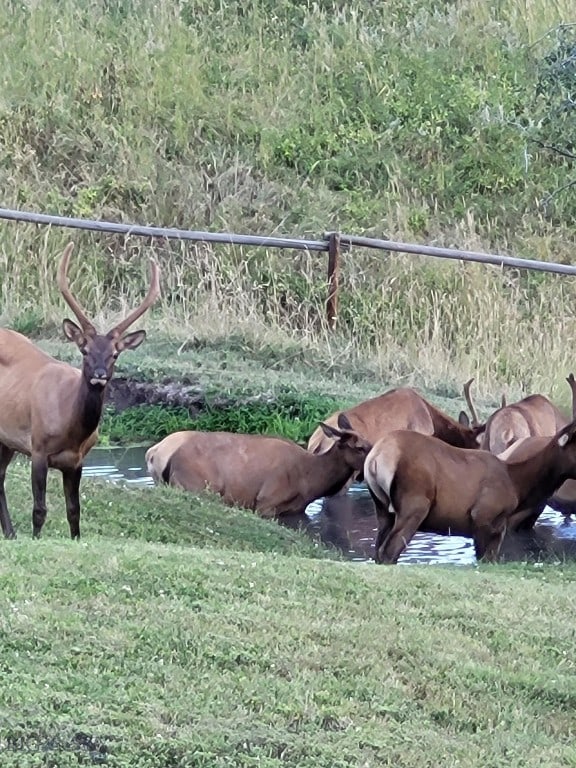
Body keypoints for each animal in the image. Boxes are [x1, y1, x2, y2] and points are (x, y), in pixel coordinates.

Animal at [0, 243, 160, 536]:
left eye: (115, 354)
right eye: (84, 351)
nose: (99, 376)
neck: (71, 431)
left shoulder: (77, 461)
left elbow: (74, 511)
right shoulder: (37, 447)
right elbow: (39, 510)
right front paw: (36, 538)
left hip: (7, 440)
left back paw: (11, 533)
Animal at [146, 414, 372, 516]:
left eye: (369, 443)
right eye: (360, 448)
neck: (311, 482)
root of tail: (154, 452)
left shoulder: (297, 510)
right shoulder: (267, 501)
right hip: (198, 486)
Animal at [364, 420, 576, 564]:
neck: (518, 486)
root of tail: (376, 457)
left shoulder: (498, 528)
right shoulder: (483, 515)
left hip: (382, 509)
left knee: (378, 551)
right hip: (415, 503)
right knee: (388, 553)